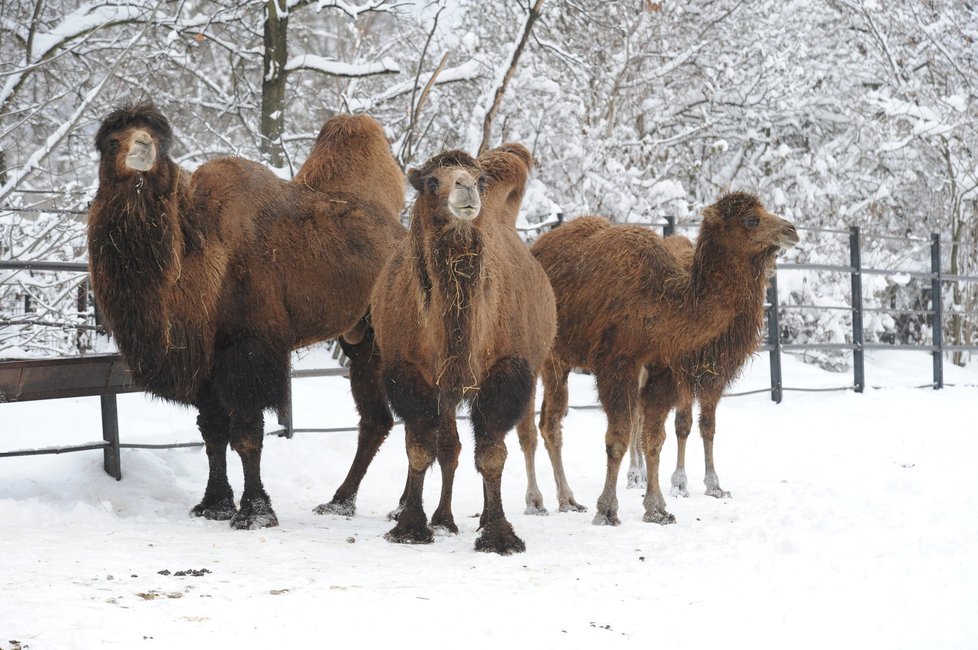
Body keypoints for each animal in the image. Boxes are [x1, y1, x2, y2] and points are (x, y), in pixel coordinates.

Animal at [86, 100, 402, 528]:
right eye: (111, 141)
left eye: (161, 142)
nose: (142, 147)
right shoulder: (205, 358)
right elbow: (213, 433)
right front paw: (214, 504)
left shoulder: (249, 347)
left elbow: (247, 434)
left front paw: (255, 512)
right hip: (362, 341)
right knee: (377, 420)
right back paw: (341, 502)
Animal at [372, 148, 556, 552]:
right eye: (431, 182)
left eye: (480, 180)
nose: (467, 187)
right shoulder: (408, 371)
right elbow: (420, 447)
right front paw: (410, 525)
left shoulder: (506, 370)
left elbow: (491, 454)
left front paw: (499, 534)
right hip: (443, 388)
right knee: (447, 447)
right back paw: (439, 517)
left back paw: (473, 516)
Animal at [516, 191, 796, 520]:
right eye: (752, 219)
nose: (792, 230)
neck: (662, 302)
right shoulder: (618, 364)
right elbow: (619, 437)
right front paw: (607, 509)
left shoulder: (665, 370)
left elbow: (654, 439)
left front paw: (657, 508)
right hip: (534, 353)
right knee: (530, 426)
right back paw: (536, 502)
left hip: (560, 360)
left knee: (551, 423)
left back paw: (568, 500)